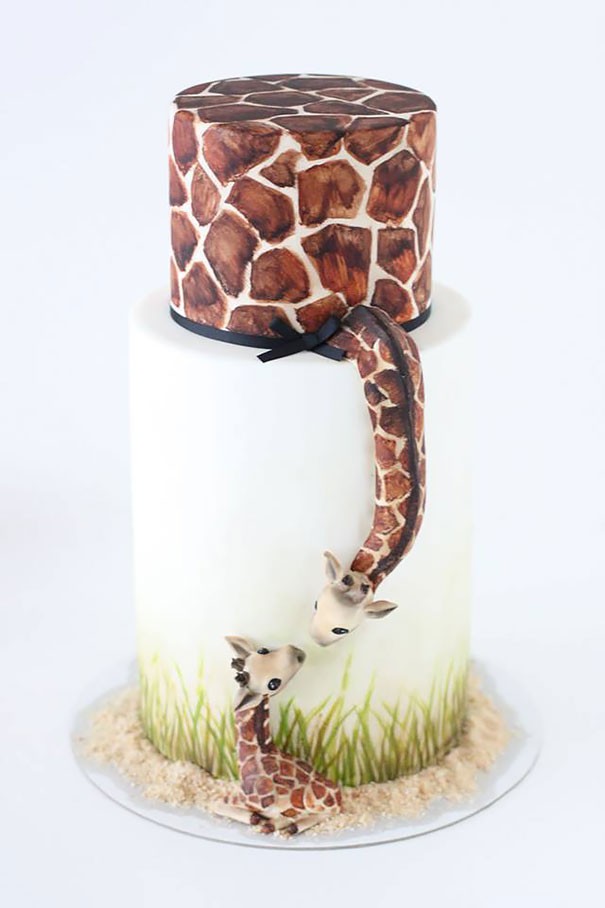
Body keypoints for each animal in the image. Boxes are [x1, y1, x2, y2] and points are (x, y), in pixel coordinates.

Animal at [210, 636, 342, 835]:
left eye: (263, 650)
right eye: (273, 683)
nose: (298, 653)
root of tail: (339, 795)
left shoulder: (247, 798)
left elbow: (215, 803)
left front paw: (260, 820)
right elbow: (215, 803)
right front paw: (258, 818)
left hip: (310, 800)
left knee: (328, 812)